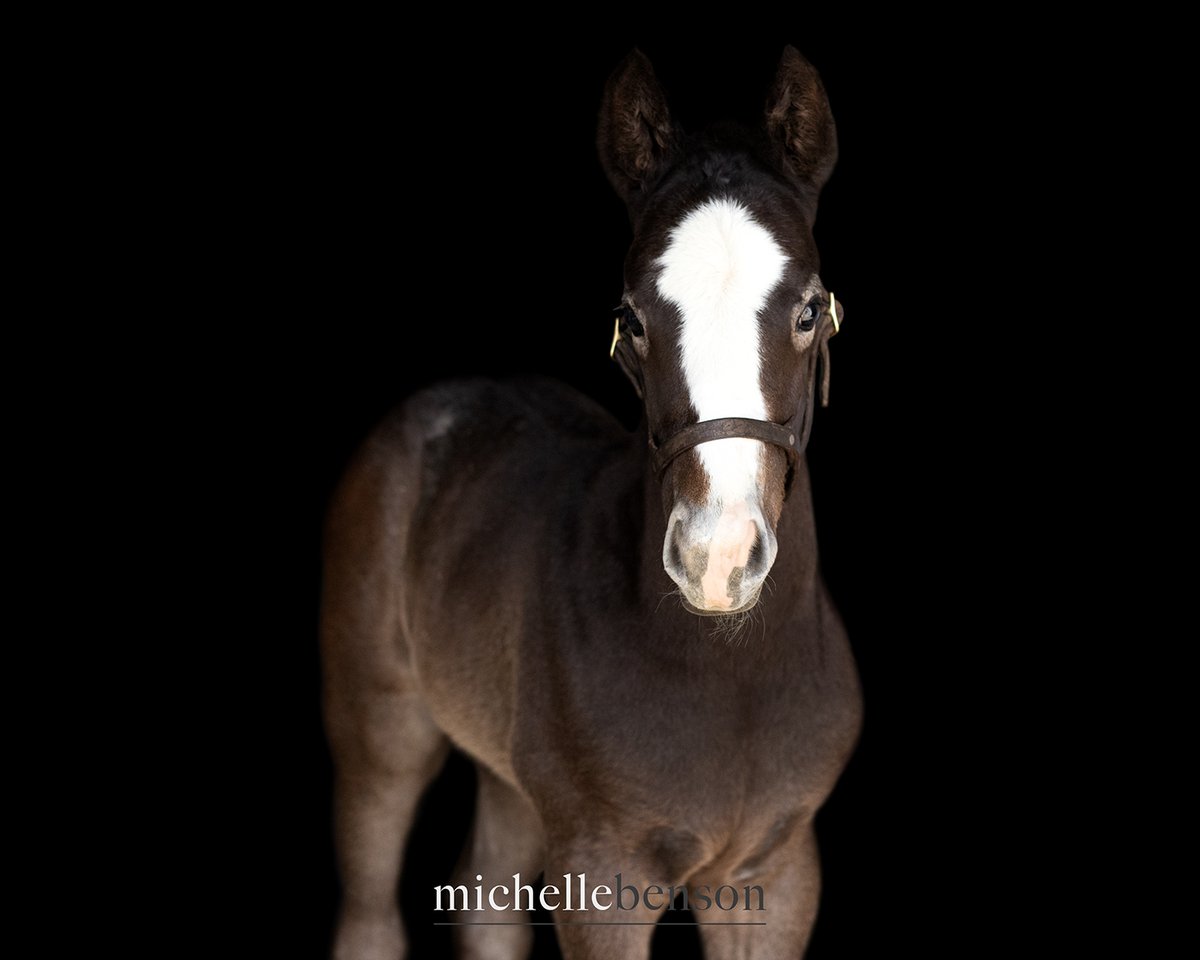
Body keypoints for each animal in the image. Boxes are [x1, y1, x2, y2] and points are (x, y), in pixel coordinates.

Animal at [322, 46, 862, 960]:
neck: (731, 671)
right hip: (379, 731)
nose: (717, 558)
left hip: (507, 769)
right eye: (631, 318)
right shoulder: (602, 872)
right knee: (370, 914)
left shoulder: (778, 873)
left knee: (486, 902)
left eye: (808, 309)